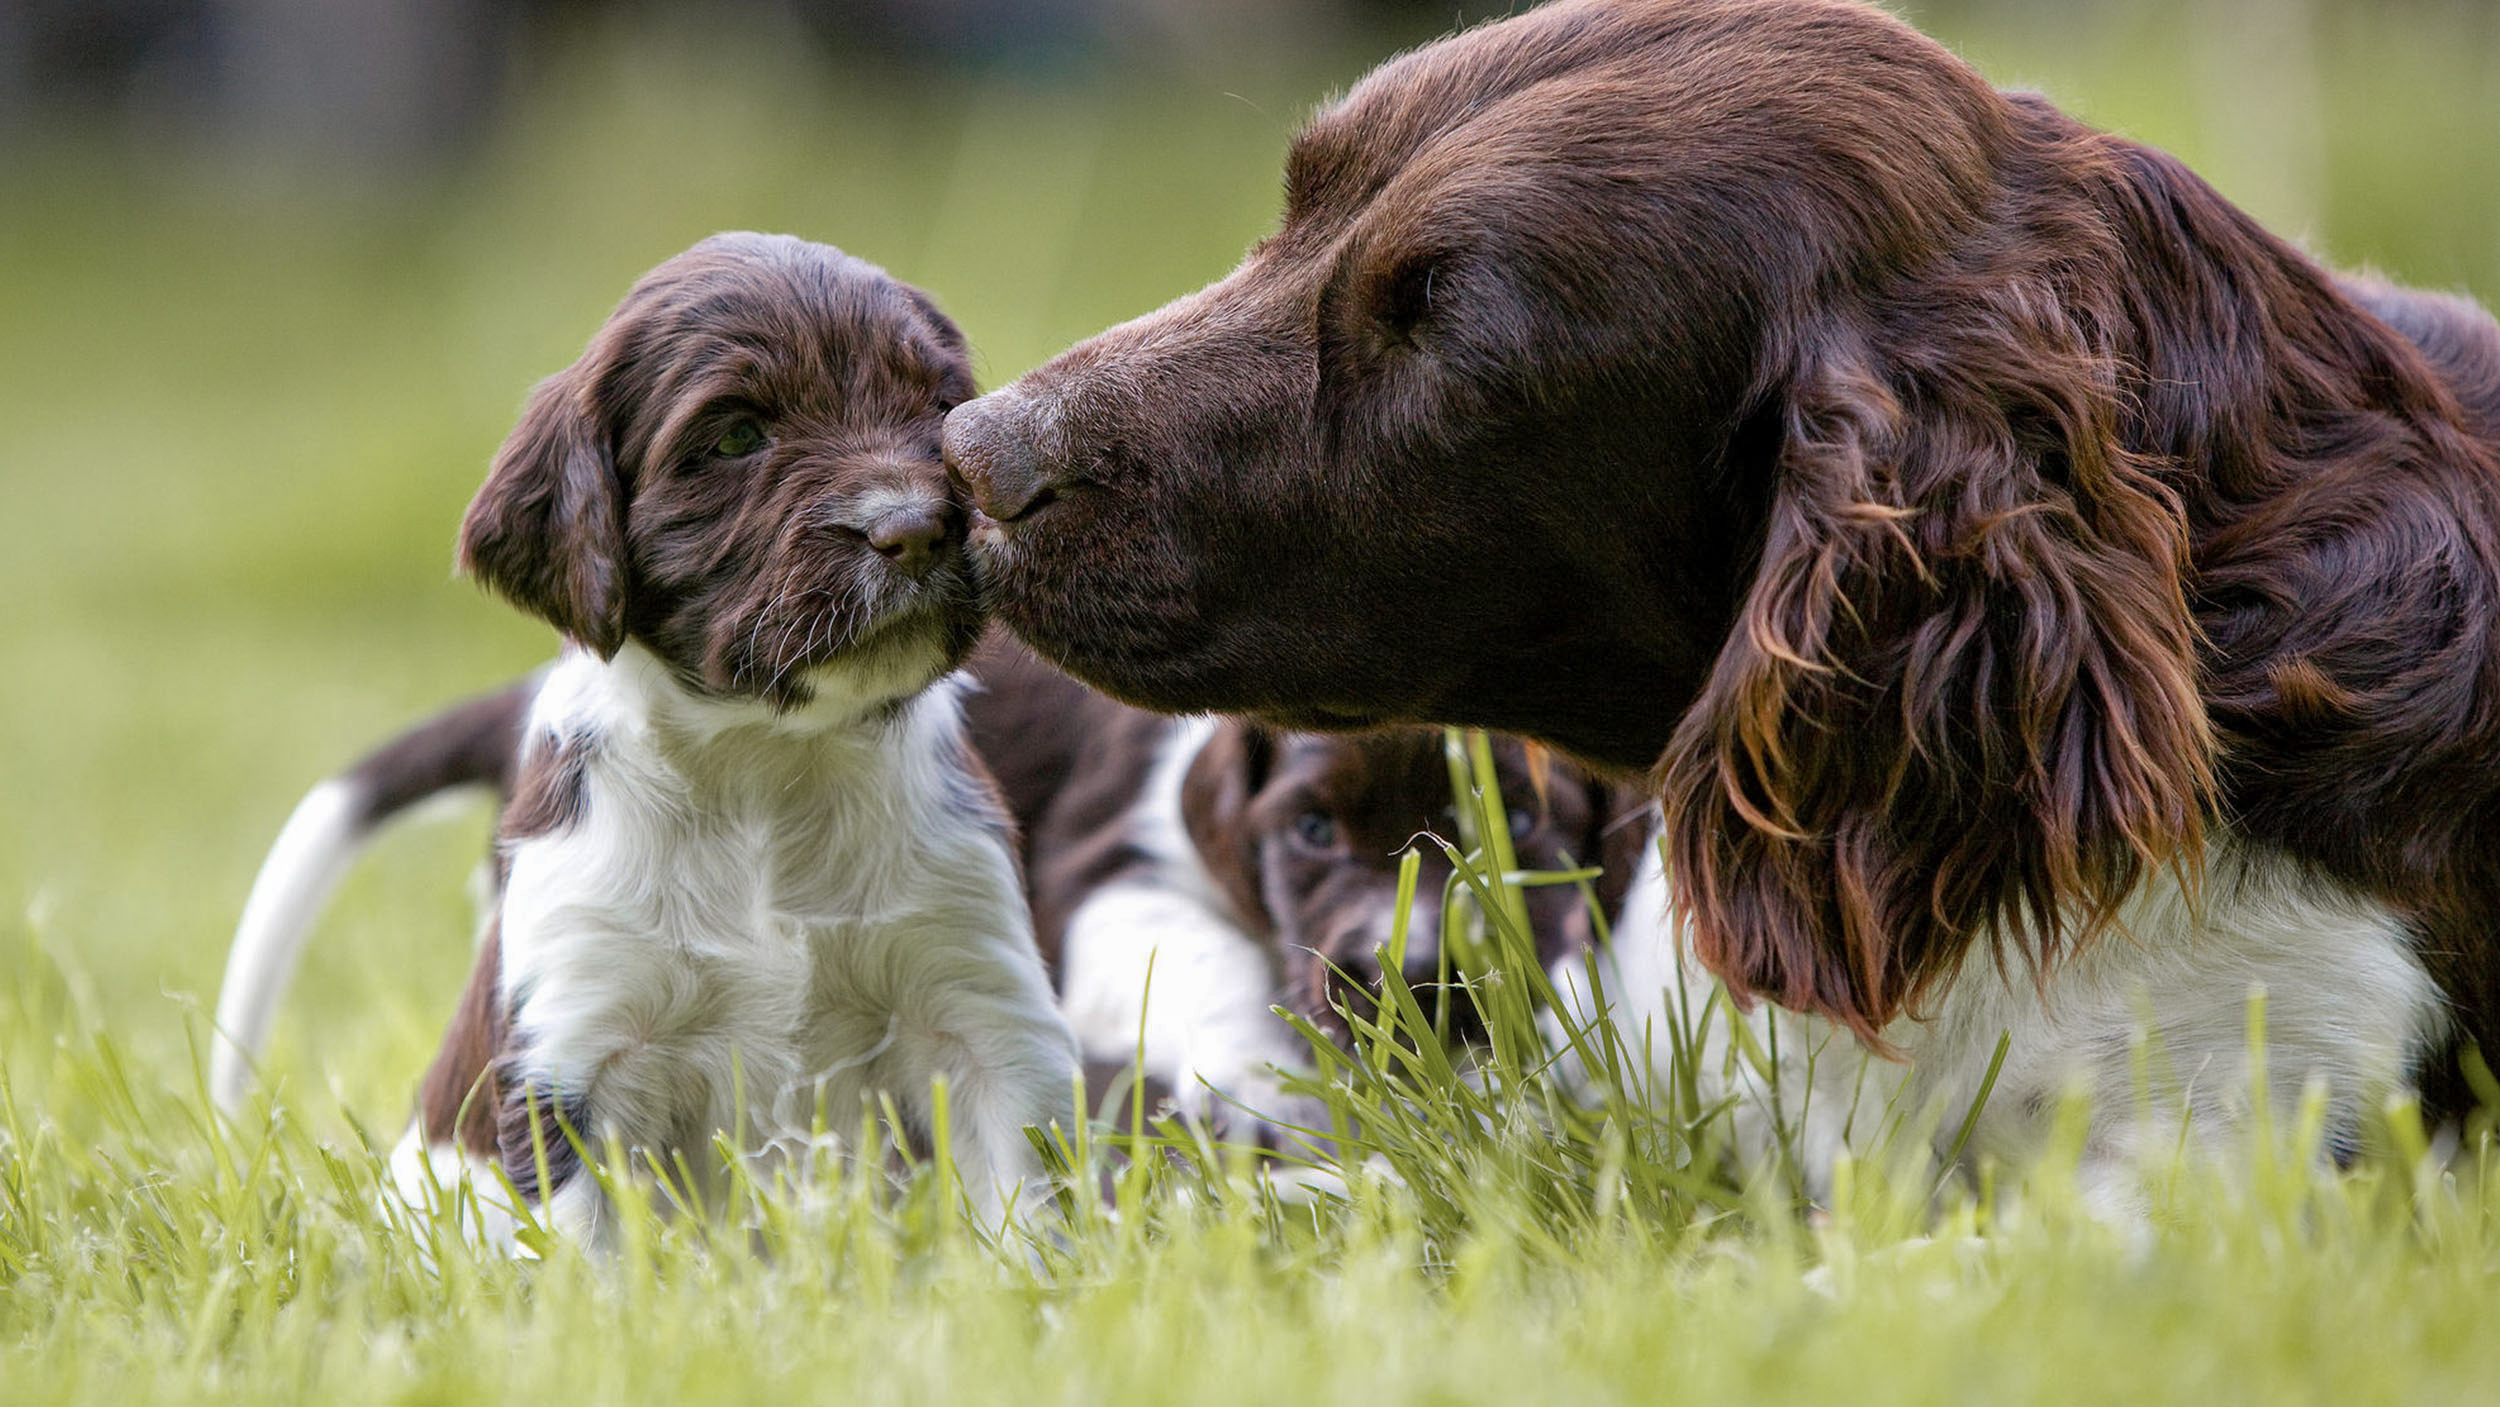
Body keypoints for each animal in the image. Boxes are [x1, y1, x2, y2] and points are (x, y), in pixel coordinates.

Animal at [212, 236, 1075, 1249]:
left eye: (939, 408)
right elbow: (590, 1257)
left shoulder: (980, 1006)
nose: (916, 529)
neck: (767, 764)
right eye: (735, 437)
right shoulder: (577, 1056)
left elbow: (1027, 1211)